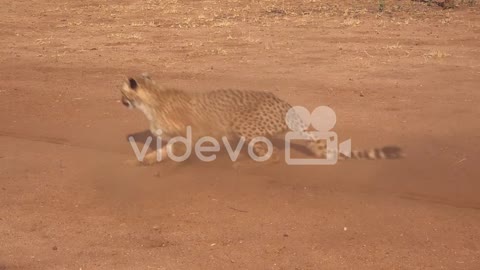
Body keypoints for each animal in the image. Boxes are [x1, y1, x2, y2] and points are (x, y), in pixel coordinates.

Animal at [120, 73, 402, 165]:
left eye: (121, 90)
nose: (118, 100)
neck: (151, 99)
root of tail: (286, 103)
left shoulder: (192, 134)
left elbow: (173, 150)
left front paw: (154, 160)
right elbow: (163, 148)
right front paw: (146, 159)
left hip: (244, 125)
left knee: (272, 155)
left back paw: (245, 163)